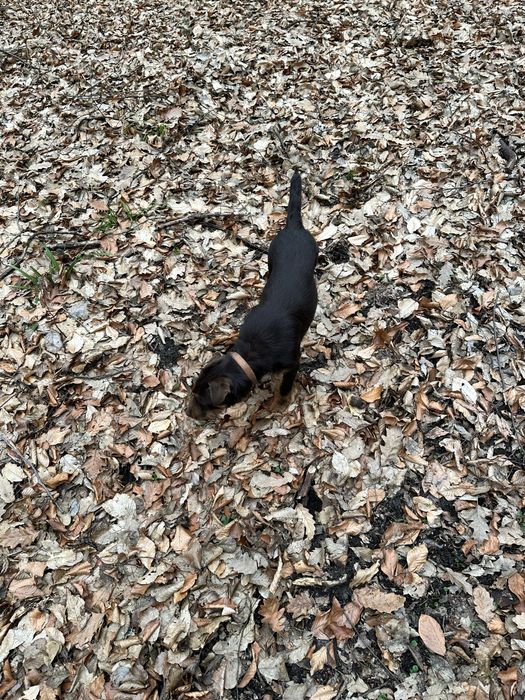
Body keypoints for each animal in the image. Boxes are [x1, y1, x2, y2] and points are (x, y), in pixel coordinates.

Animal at [187, 172, 318, 420]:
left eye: (204, 401)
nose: (189, 414)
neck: (252, 352)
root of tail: (294, 226)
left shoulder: (292, 363)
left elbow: (284, 386)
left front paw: (279, 404)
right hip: (270, 258)